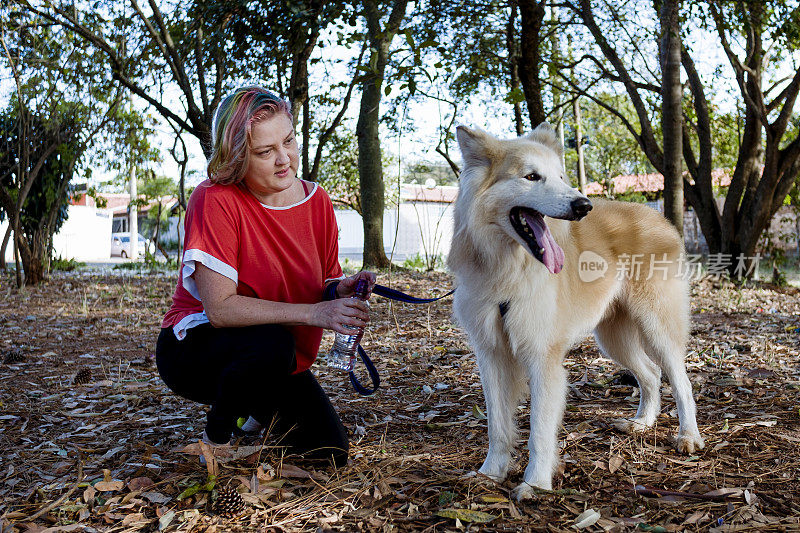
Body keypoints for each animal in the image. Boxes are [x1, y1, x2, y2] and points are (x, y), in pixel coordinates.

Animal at [446, 123, 704, 498]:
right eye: (532, 176)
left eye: (561, 177)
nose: (583, 205)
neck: (508, 271)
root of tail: (659, 217)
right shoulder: (491, 354)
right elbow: (498, 425)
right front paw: (491, 473)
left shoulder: (543, 359)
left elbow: (539, 430)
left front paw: (536, 483)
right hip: (613, 339)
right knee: (651, 374)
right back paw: (642, 423)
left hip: (657, 328)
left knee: (680, 381)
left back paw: (688, 437)